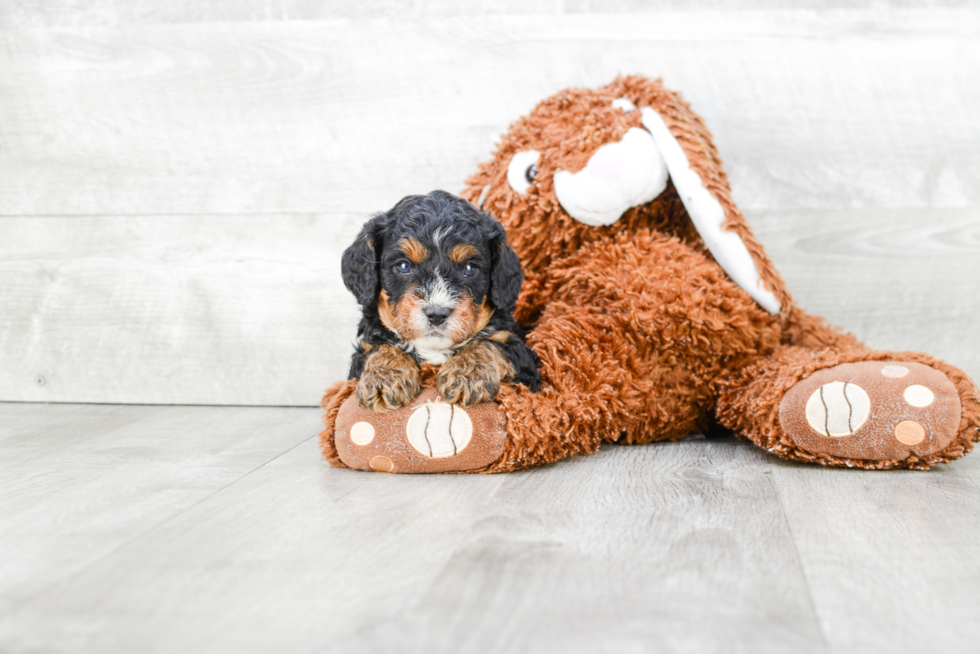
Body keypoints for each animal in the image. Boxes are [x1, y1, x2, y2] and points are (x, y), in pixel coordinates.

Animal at [342, 190, 544, 412]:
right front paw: (385, 377)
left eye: (469, 268)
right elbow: (379, 346)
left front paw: (466, 374)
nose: (437, 314)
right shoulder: (364, 348)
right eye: (404, 266)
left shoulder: (524, 360)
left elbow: (489, 343)